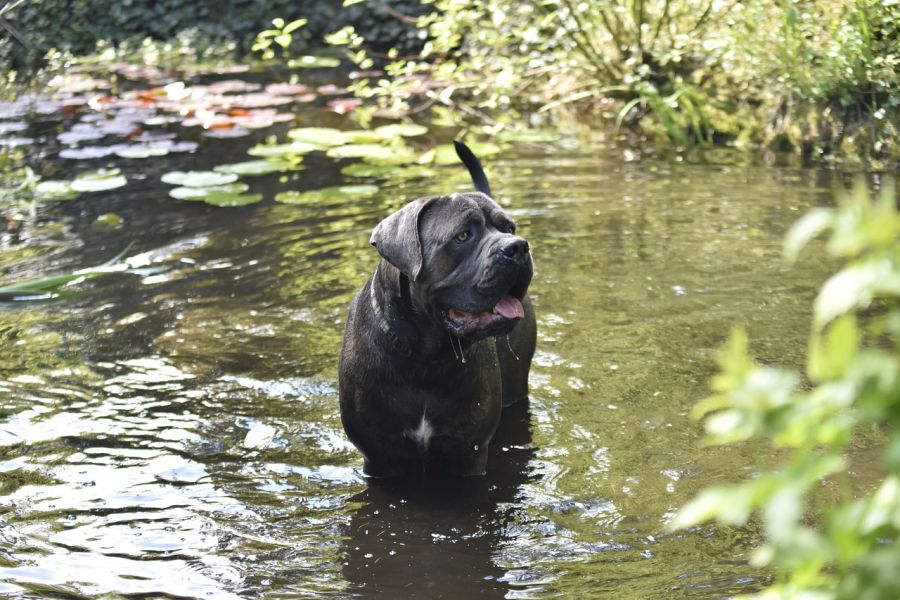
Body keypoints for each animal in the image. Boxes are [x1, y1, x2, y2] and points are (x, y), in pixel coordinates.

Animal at [338, 142, 536, 478]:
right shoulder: (379, 456)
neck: (425, 358)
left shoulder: (467, 452)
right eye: (462, 236)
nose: (518, 246)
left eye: (509, 227)